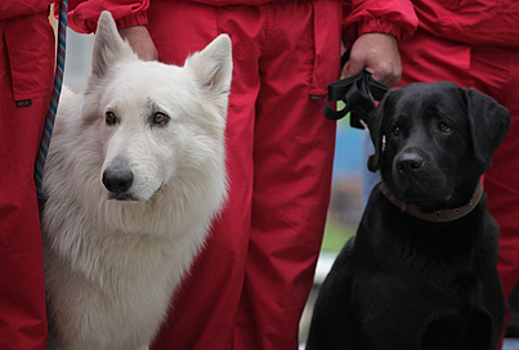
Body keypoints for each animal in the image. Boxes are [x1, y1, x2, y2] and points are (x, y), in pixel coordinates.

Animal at [41, 11, 233, 350]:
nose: (115, 181)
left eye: (159, 117)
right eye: (110, 117)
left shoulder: (133, 331)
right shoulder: (79, 334)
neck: (128, 227)